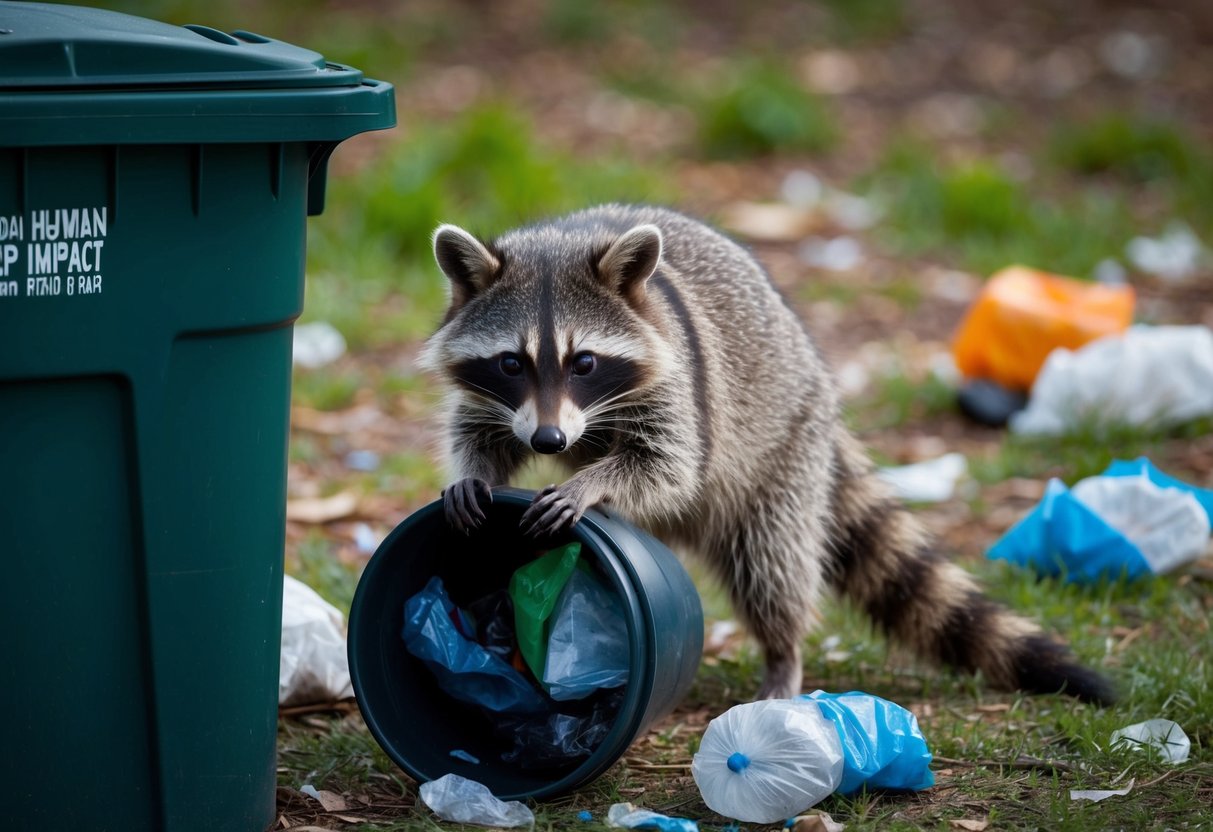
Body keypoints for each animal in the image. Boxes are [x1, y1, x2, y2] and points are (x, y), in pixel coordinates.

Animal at [420, 203, 1114, 704]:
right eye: (511, 363)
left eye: (584, 362)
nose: (549, 443)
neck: (563, 240)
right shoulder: (503, 399)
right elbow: (480, 430)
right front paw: (475, 472)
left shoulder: (680, 381)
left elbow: (668, 464)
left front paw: (594, 481)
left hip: (786, 452)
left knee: (771, 565)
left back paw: (784, 654)